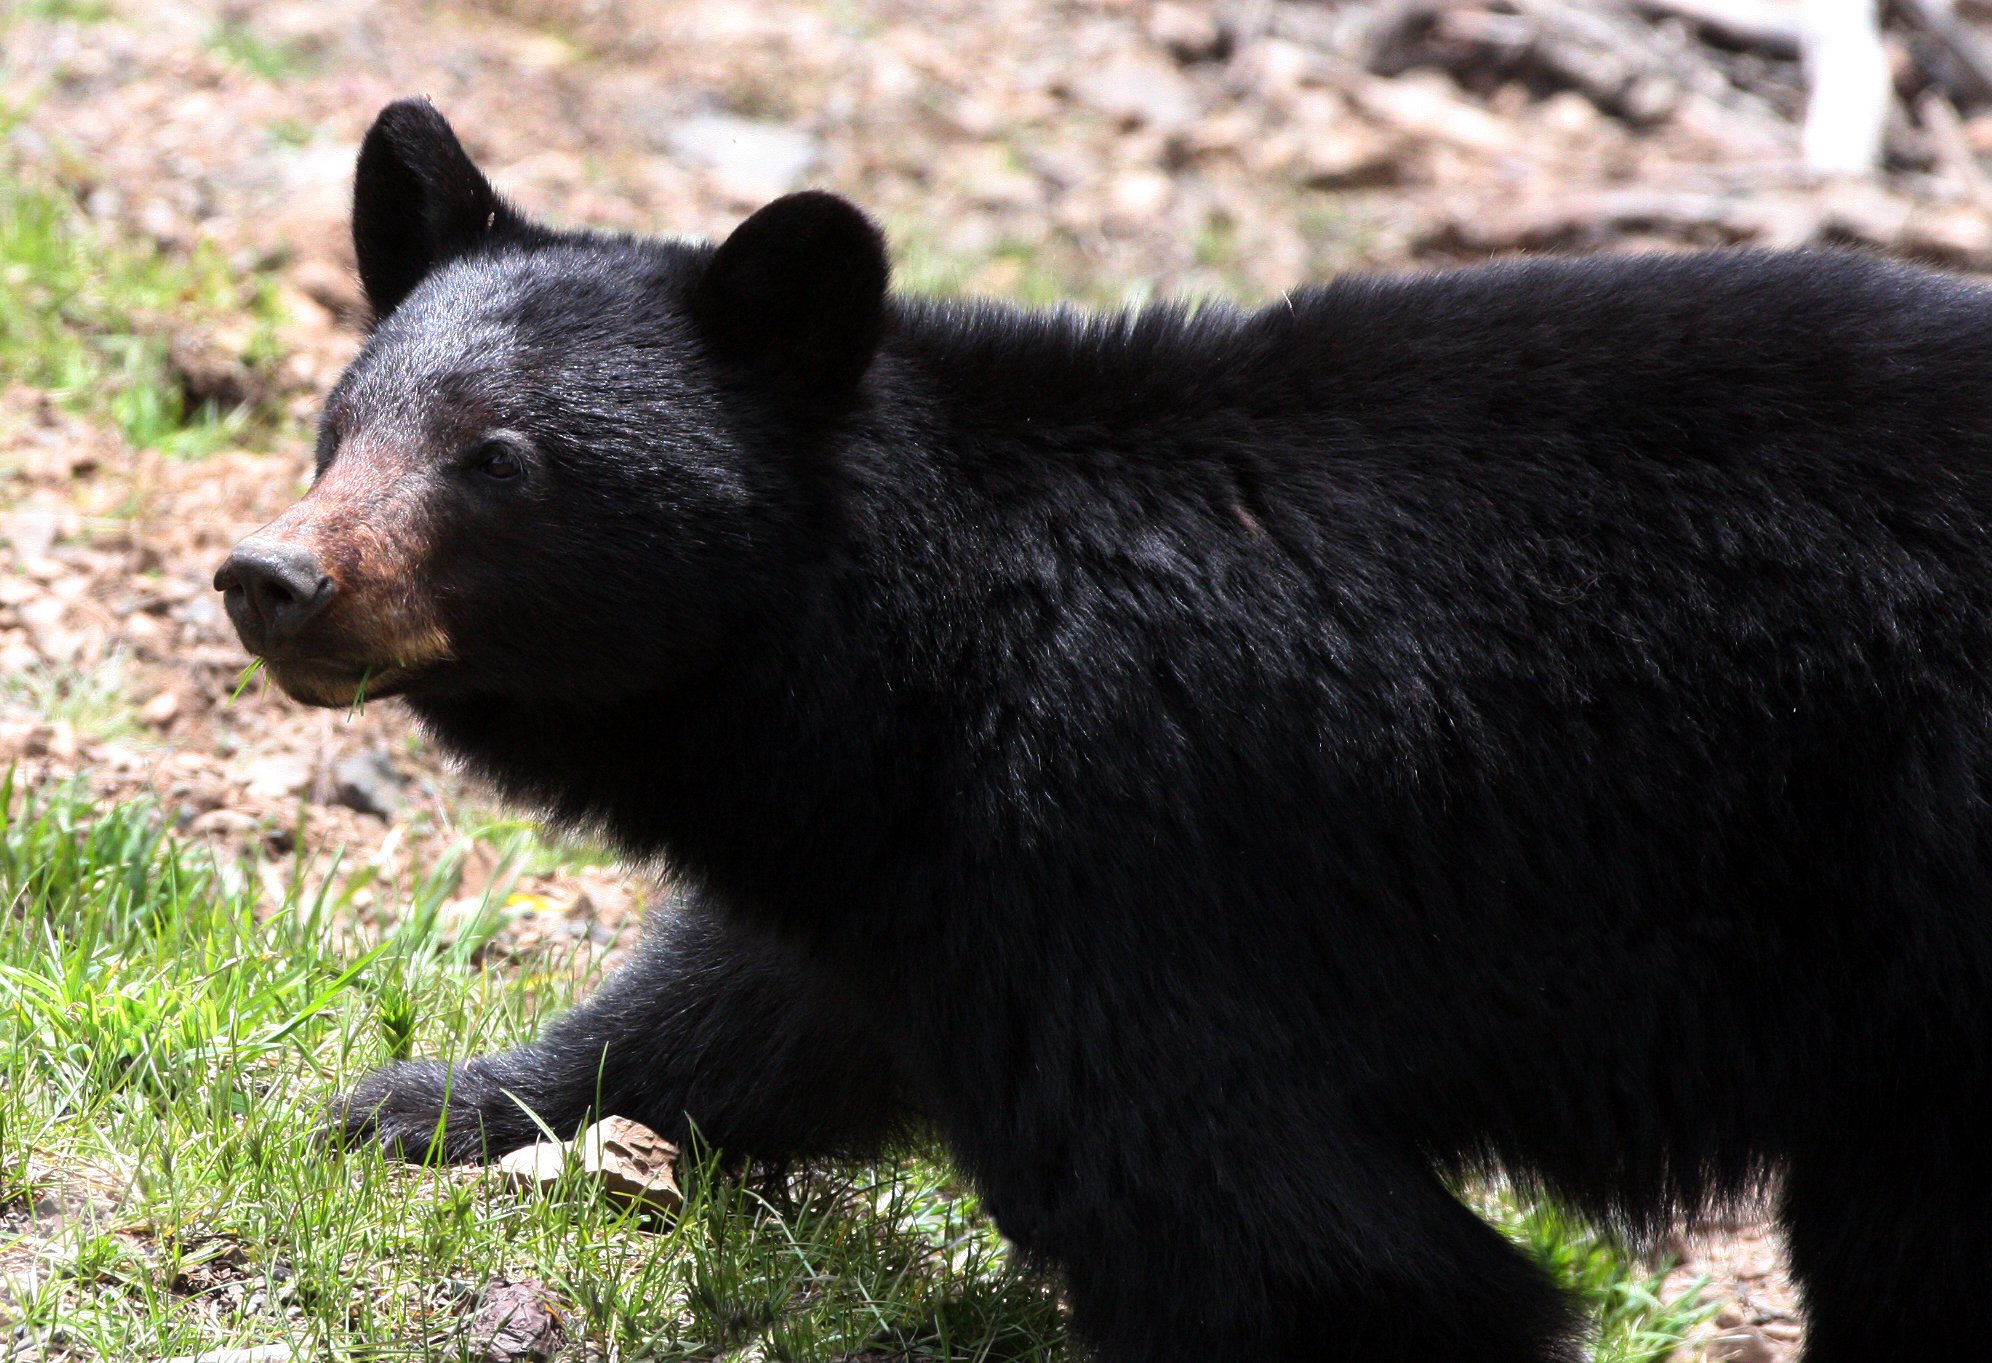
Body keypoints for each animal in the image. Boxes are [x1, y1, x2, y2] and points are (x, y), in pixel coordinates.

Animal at [214, 97, 1992, 1363]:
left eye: (497, 459)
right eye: (342, 424)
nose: (272, 576)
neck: (922, 654)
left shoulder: (1130, 863)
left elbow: (1299, 1249)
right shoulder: (918, 864)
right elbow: (753, 1000)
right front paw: (439, 1100)